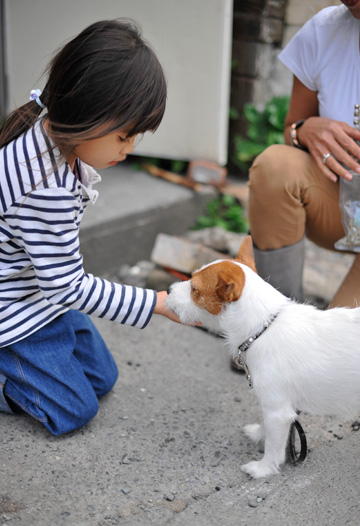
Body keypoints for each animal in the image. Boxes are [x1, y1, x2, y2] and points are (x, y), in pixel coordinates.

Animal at [167, 237, 360, 480]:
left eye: (194, 288)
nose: (168, 289)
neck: (262, 328)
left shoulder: (278, 410)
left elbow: (274, 446)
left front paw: (263, 468)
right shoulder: (275, 405)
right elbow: (269, 427)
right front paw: (260, 433)